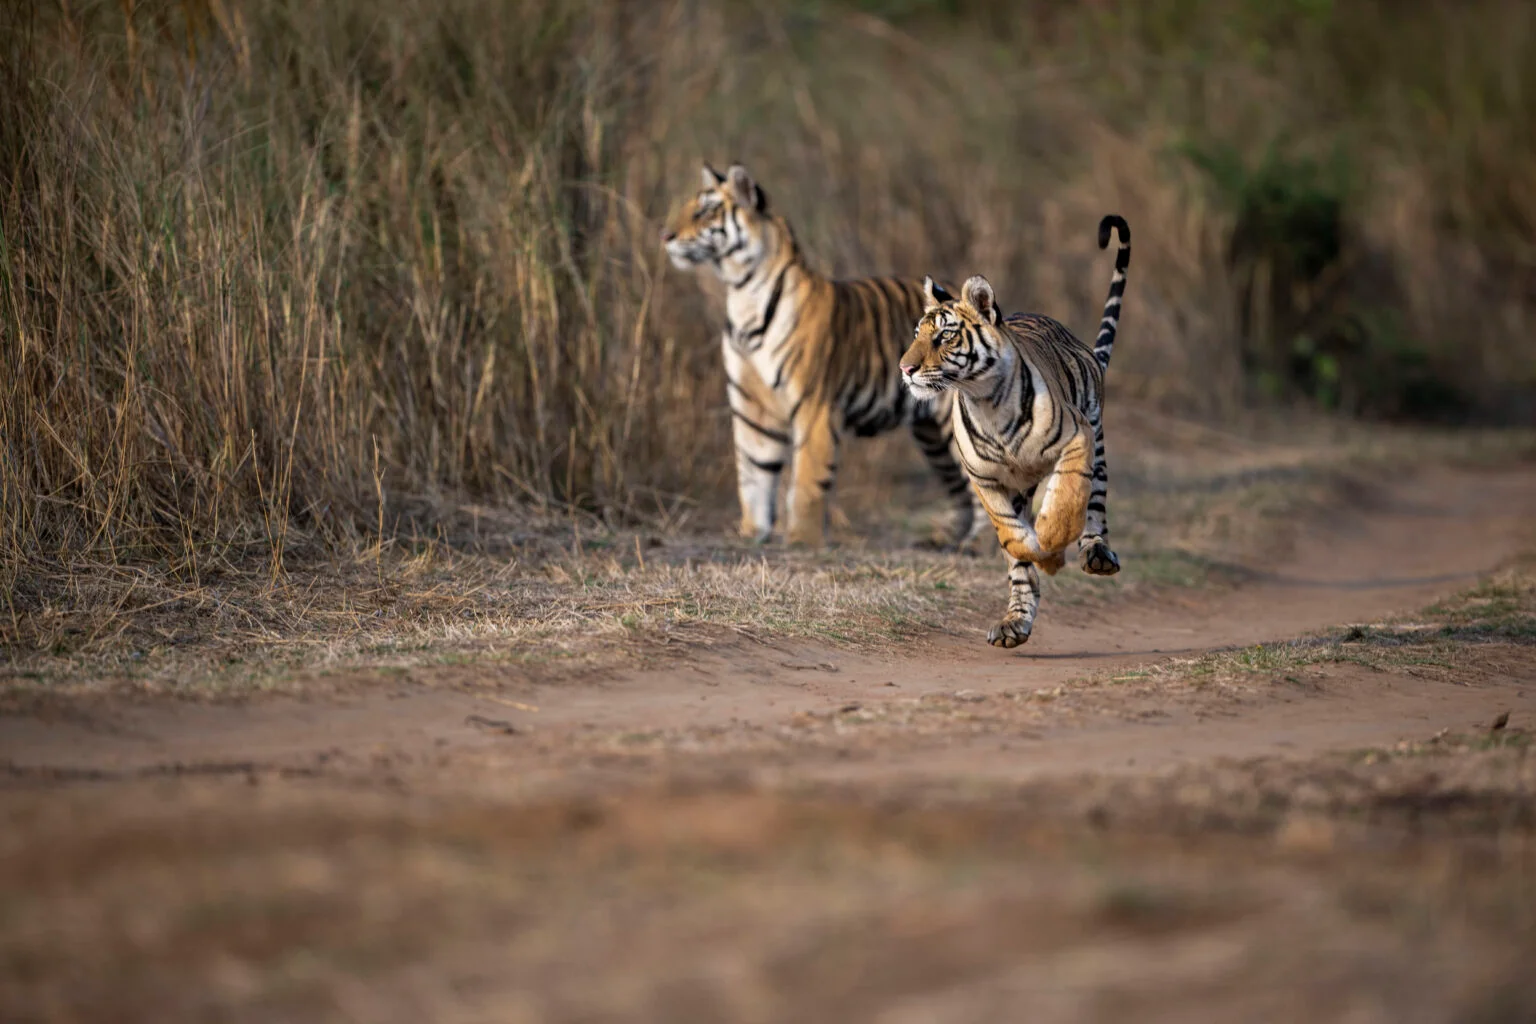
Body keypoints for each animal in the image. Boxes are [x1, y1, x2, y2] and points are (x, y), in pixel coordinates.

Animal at [661, 162, 981, 548]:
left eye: (705, 211)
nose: (666, 236)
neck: (741, 294)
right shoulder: (751, 405)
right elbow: (753, 473)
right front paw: (752, 533)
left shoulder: (814, 404)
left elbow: (806, 481)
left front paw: (801, 539)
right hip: (931, 432)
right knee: (960, 485)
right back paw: (950, 541)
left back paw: (977, 545)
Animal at [901, 215, 1132, 648]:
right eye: (916, 335)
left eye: (945, 336)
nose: (905, 368)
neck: (986, 400)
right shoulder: (985, 480)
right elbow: (1012, 538)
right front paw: (1040, 554)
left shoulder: (1076, 438)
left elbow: (1066, 503)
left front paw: (1054, 540)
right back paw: (1015, 624)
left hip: (1096, 441)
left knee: (1093, 506)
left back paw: (1096, 554)